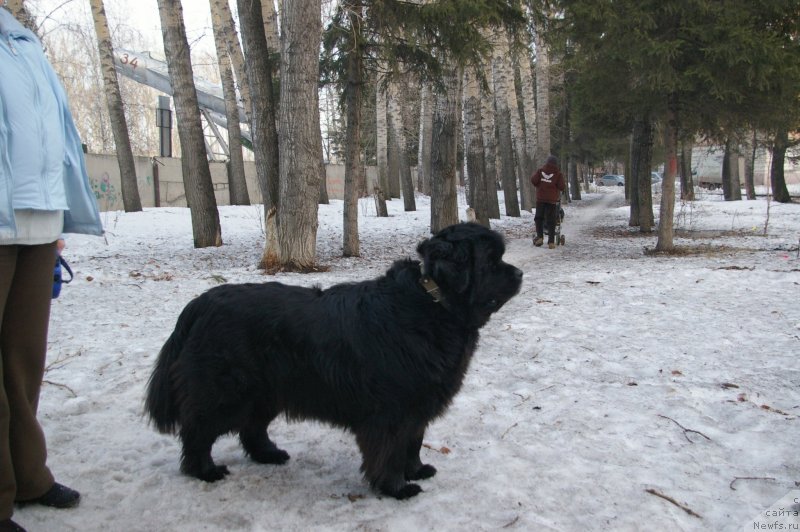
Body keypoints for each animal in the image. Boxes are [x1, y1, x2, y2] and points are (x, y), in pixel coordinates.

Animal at [146, 220, 520, 498]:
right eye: (491, 261)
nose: (519, 274)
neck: (434, 302)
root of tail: (200, 304)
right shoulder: (391, 410)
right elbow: (390, 450)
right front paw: (396, 487)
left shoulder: (418, 405)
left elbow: (412, 443)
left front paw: (416, 471)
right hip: (225, 391)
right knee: (198, 431)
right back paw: (204, 471)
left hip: (266, 391)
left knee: (251, 428)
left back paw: (269, 454)